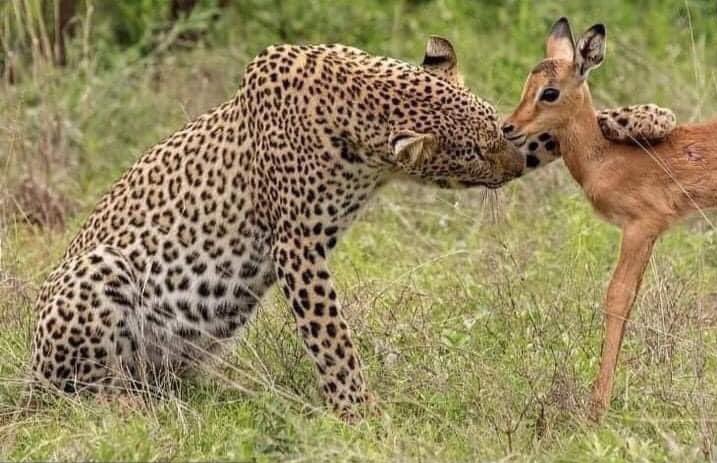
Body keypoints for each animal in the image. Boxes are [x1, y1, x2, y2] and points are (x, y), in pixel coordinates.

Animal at [28, 36, 677, 419]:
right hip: (98, 273)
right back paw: (124, 408)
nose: (513, 165)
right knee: (81, 393)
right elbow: (333, 340)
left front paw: (647, 117)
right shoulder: (297, 247)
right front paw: (363, 417)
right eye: (469, 154)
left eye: (499, 128)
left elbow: (560, 132)